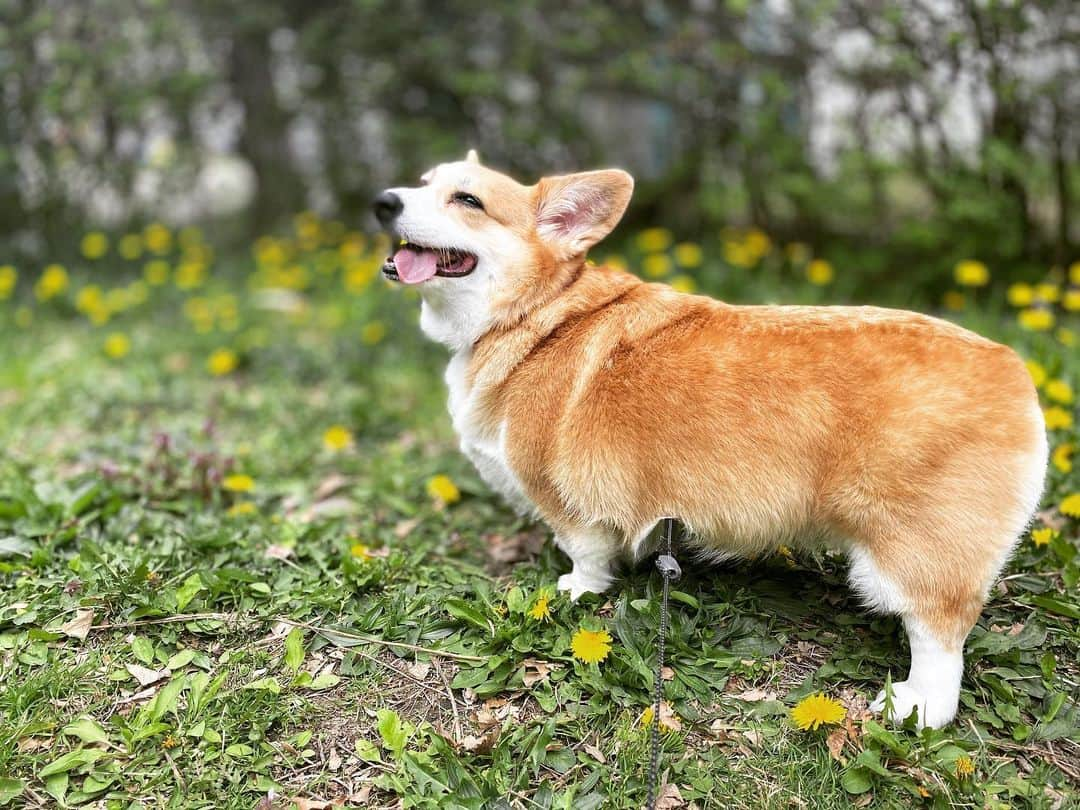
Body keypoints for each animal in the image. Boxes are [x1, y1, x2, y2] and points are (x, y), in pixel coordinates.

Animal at [371, 151, 1045, 730]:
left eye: (467, 200)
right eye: (422, 183)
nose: (382, 201)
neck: (532, 313)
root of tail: (1015, 372)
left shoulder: (567, 500)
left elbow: (586, 554)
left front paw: (576, 591)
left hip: (910, 553)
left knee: (939, 639)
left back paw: (918, 707)